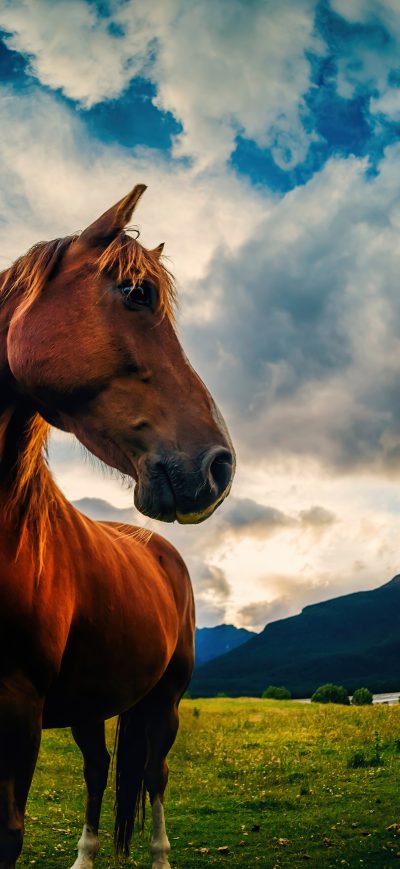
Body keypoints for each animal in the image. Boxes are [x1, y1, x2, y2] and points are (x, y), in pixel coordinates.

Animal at [0, 183, 235, 868]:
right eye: (136, 294)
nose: (220, 465)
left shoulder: (17, 710)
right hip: (92, 701)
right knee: (100, 768)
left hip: (165, 701)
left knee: (153, 775)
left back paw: (157, 853)